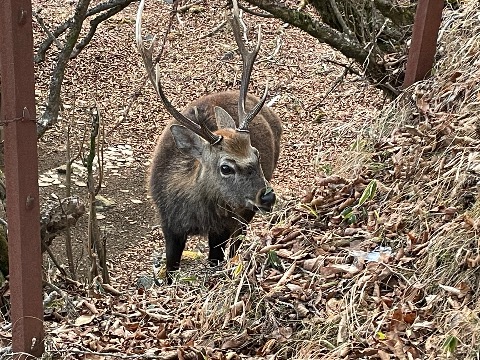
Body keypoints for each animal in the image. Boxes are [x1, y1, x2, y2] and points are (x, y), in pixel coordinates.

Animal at [136, 0, 282, 282]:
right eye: (225, 167)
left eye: (256, 153)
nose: (267, 196)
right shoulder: (169, 224)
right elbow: (170, 269)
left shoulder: (222, 226)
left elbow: (216, 259)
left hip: (243, 213)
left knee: (237, 242)